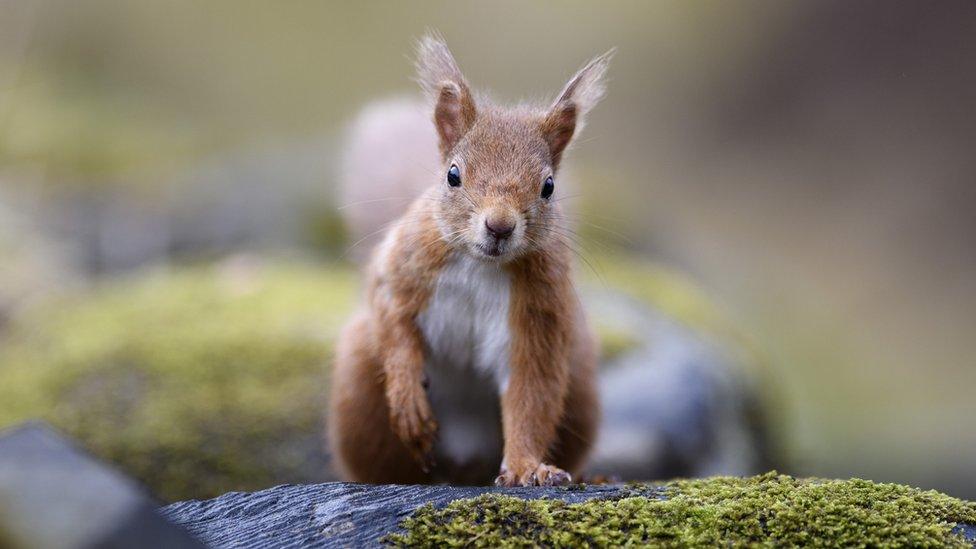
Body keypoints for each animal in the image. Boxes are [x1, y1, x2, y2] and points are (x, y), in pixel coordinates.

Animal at [332, 36, 612, 486]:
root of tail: (461, 468)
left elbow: (530, 395)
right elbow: (392, 319)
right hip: (358, 385)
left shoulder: (539, 315)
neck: (480, 264)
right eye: (452, 175)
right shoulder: (403, 266)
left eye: (549, 186)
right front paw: (408, 397)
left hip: (581, 382)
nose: (499, 226)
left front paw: (527, 468)